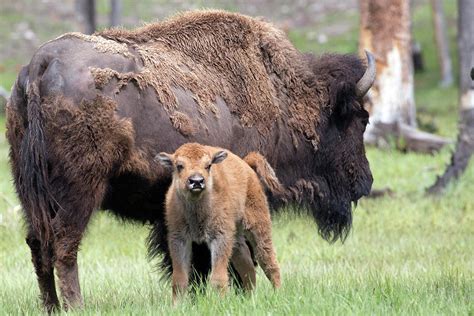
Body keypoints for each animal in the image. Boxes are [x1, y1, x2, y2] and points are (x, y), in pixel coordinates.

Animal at [156, 143, 282, 302]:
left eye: (208, 165)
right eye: (179, 166)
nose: (196, 181)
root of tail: (246, 165)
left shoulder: (220, 237)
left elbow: (218, 277)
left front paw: (220, 302)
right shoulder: (179, 238)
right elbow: (179, 278)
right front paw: (177, 304)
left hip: (258, 226)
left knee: (267, 260)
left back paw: (278, 294)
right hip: (236, 238)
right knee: (246, 264)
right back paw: (249, 298)